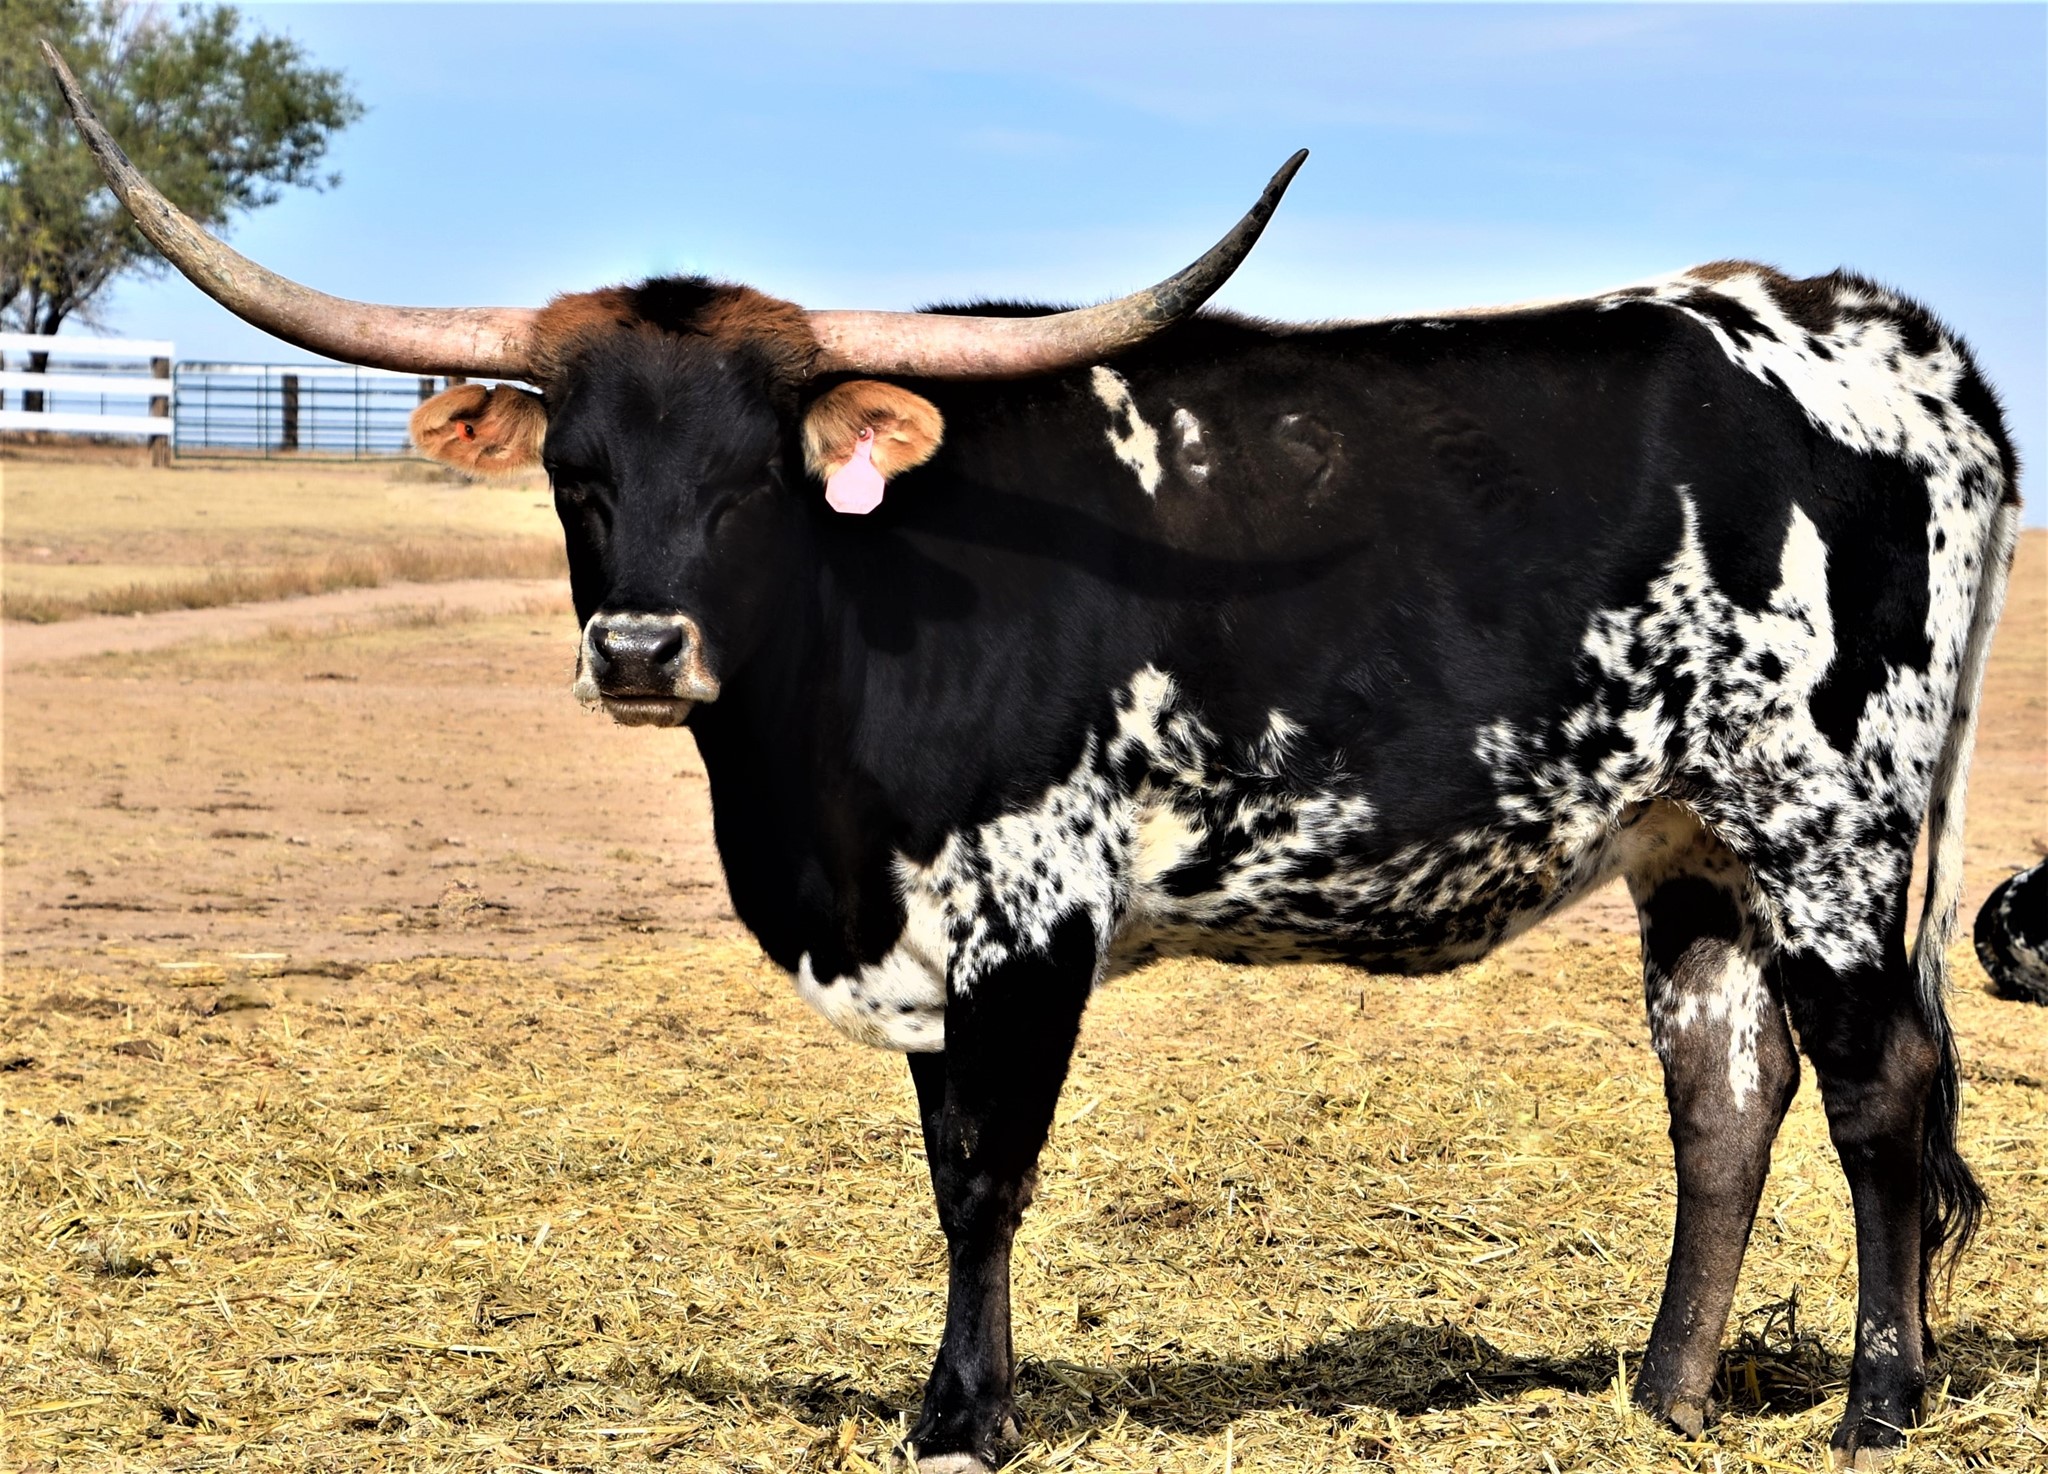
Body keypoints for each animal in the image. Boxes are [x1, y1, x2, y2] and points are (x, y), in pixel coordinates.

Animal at [49, 45, 2023, 1472]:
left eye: (754, 475)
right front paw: (969, 1401)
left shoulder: (1024, 912)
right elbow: (949, 1167)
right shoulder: (927, 931)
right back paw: (1668, 1396)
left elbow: (988, 1170)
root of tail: (1881, 335)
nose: (636, 650)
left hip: (1831, 827)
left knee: (1878, 1094)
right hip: (1696, 844)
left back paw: (1876, 1403)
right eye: (574, 474)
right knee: (1725, 1101)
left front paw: (960, 1420)